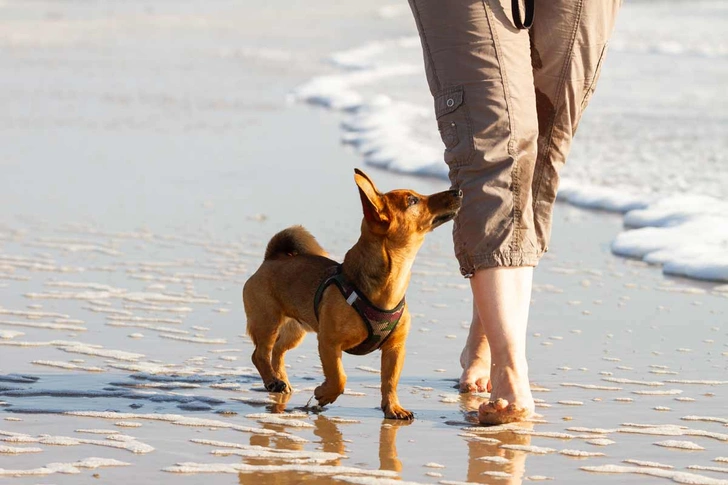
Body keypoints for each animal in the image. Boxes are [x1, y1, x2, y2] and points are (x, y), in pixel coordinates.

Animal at [245, 168, 460, 418]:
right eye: (413, 200)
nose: (458, 191)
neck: (391, 283)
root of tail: (272, 258)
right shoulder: (329, 343)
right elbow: (339, 377)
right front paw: (324, 393)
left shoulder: (395, 349)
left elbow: (390, 381)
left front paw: (393, 407)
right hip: (267, 322)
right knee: (260, 354)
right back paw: (272, 381)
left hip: (294, 330)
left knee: (277, 352)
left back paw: (281, 380)